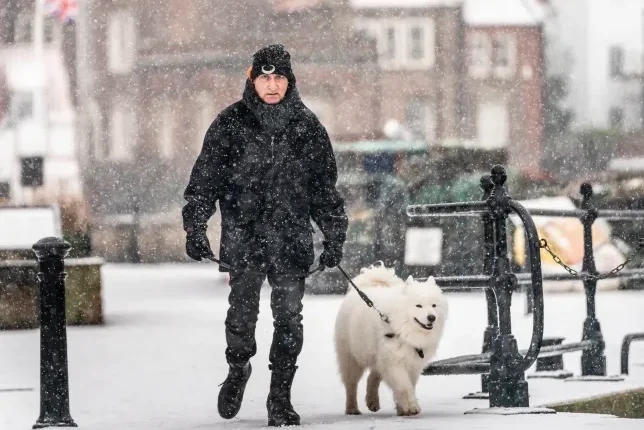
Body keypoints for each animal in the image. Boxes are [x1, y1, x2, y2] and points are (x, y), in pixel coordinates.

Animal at [332, 262, 448, 416]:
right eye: (418, 305)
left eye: (434, 305)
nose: (431, 317)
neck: (405, 330)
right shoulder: (394, 362)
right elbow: (404, 386)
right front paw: (411, 407)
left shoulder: (412, 364)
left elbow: (408, 385)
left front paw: (402, 409)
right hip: (351, 357)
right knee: (351, 384)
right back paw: (352, 408)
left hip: (377, 356)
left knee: (373, 376)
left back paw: (372, 401)